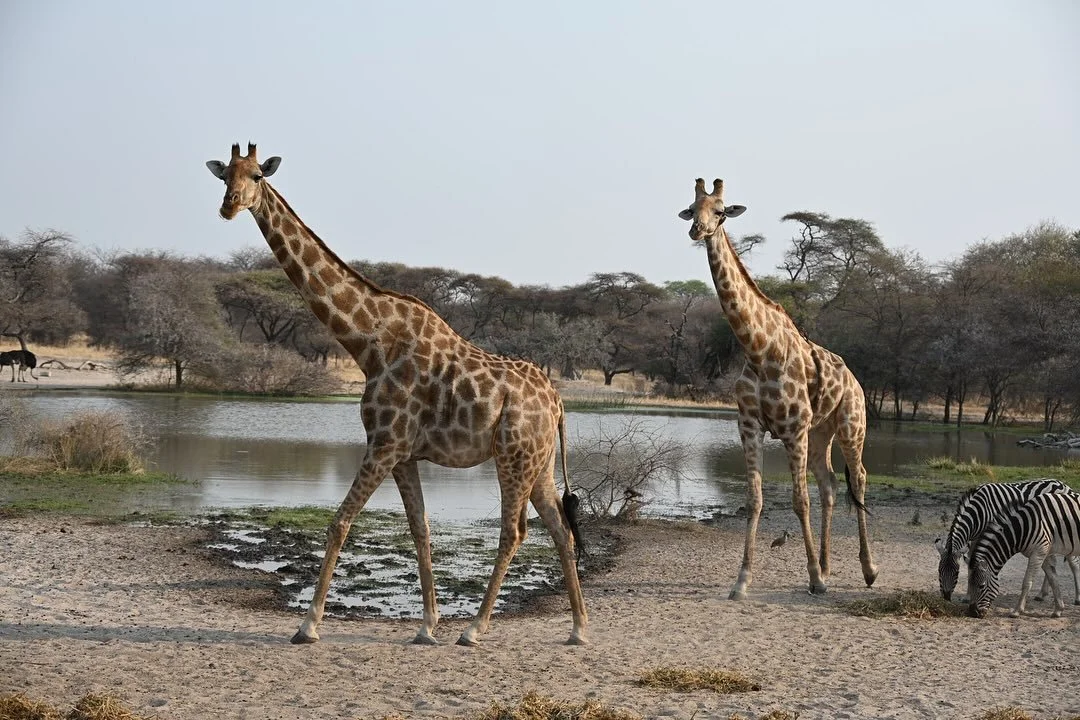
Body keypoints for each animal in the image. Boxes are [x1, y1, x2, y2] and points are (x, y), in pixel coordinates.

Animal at [206, 143, 588, 646]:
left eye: (255, 175)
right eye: (223, 175)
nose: (228, 206)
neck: (368, 341)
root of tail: (558, 402)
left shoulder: (384, 443)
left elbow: (339, 523)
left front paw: (308, 625)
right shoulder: (404, 453)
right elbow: (419, 529)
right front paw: (427, 626)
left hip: (514, 456)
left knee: (514, 531)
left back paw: (476, 629)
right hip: (539, 462)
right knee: (560, 529)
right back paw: (579, 627)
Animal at [678, 178, 878, 599]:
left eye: (721, 211)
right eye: (691, 208)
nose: (698, 230)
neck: (758, 349)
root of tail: (854, 379)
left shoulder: (793, 429)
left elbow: (799, 501)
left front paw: (814, 579)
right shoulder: (749, 426)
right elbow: (754, 500)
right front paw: (742, 581)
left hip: (851, 426)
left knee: (859, 478)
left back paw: (867, 570)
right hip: (820, 433)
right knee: (831, 484)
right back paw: (828, 565)